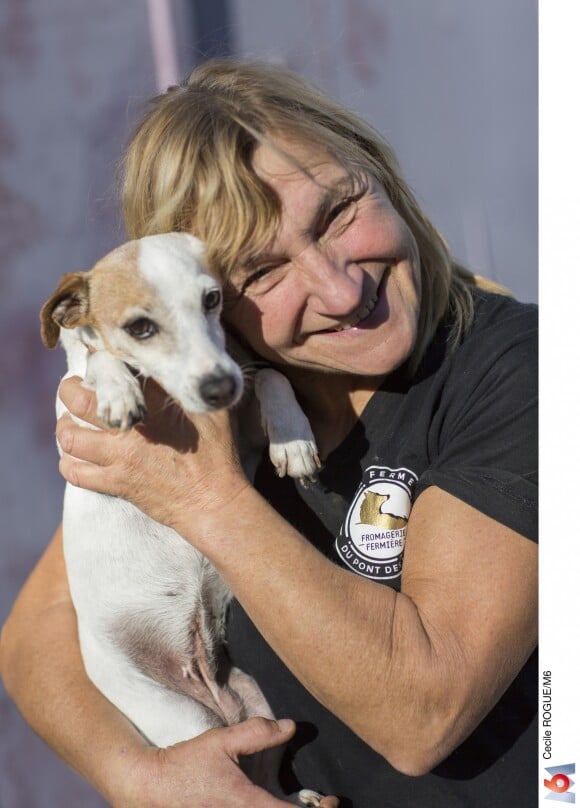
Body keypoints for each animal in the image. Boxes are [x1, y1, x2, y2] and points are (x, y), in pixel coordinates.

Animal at [39, 230, 322, 804]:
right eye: (139, 328)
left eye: (211, 300)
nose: (219, 388)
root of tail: (214, 695)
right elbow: (99, 362)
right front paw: (118, 387)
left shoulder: (243, 430)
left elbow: (271, 378)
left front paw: (293, 441)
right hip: (183, 720)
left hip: (261, 707)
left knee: (263, 772)